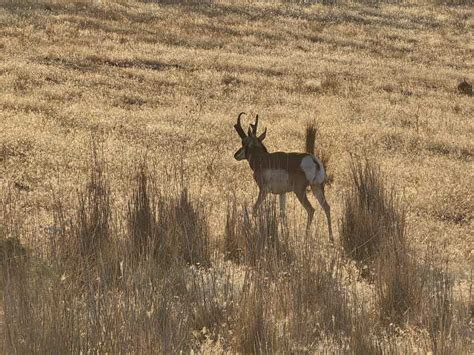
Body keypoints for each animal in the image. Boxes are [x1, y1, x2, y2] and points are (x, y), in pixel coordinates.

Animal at [234, 112, 334, 243]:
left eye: (244, 142)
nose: (235, 155)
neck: (262, 158)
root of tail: (313, 160)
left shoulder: (263, 190)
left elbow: (255, 208)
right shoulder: (282, 193)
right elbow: (282, 214)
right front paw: (284, 235)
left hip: (300, 191)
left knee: (311, 209)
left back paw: (305, 238)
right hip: (316, 187)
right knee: (327, 207)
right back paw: (331, 238)